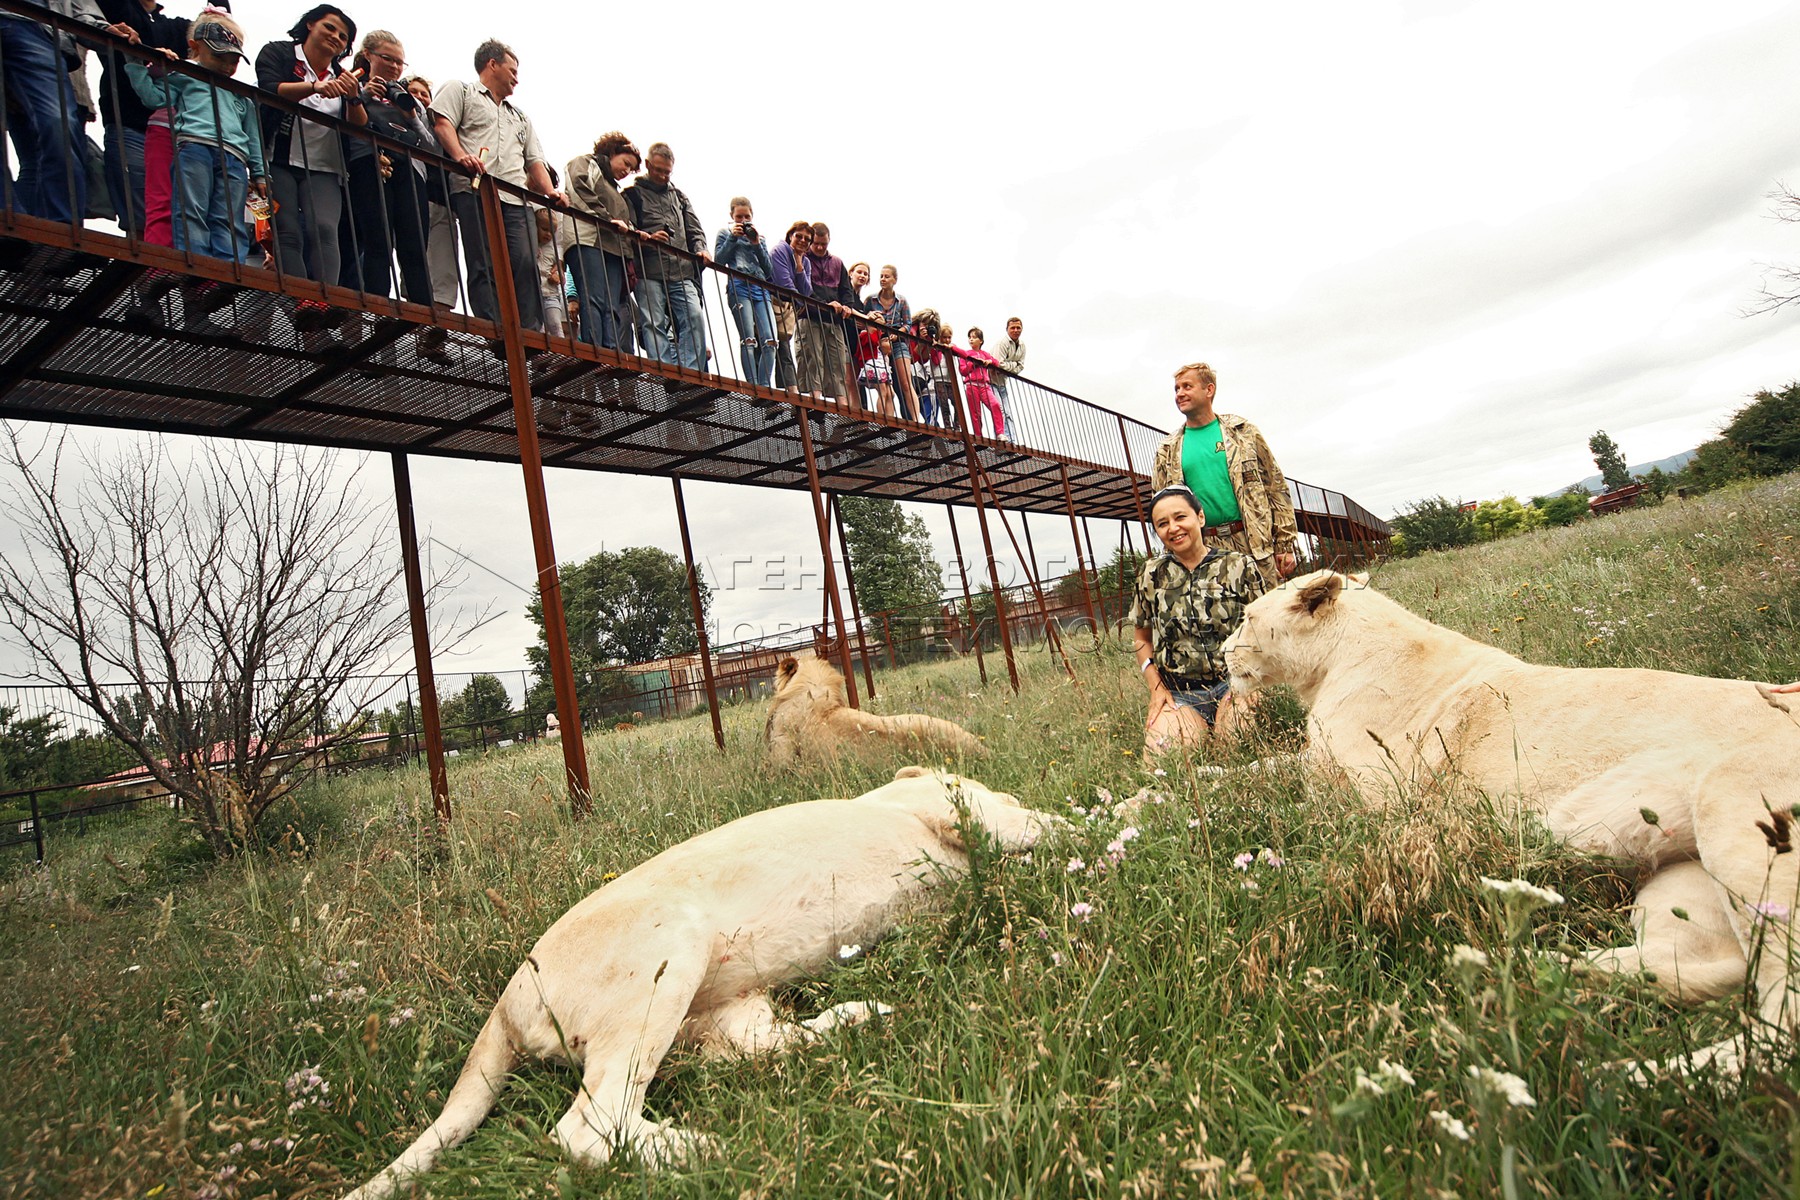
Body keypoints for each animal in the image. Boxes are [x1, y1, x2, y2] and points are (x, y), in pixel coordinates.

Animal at [338, 770, 1051, 1200]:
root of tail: (503, 1008)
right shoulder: (961, 810)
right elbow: (1048, 824)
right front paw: (1076, 828)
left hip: (725, 1001)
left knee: (753, 1050)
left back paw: (859, 1017)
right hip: (668, 950)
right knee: (588, 1126)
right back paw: (724, 1152)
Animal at [1224, 572, 1800, 1079]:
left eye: (1247, 616)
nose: (1223, 652)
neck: (1332, 665)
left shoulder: (1370, 799)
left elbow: (1273, 799)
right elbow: (1258, 769)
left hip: (1740, 820)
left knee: (1779, 1030)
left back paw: (1622, 1076)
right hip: (1678, 884)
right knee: (1681, 963)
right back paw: (1523, 963)